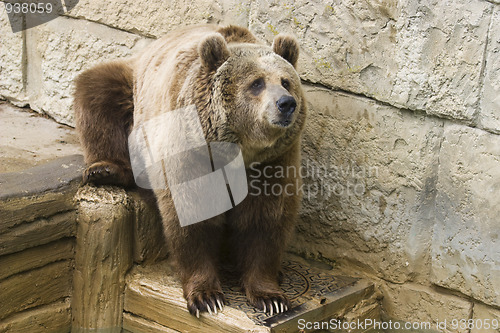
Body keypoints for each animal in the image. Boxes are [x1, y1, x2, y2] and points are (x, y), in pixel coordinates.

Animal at [74, 24, 306, 316]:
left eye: (286, 81)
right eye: (257, 83)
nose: (286, 103)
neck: (237, 152)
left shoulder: (273, 162)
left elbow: (264, 221)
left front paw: (271, 297)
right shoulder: (191, 151)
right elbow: (192, 215)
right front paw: (207, 297)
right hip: (132, 89)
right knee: (97, 91)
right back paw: (105, 169)